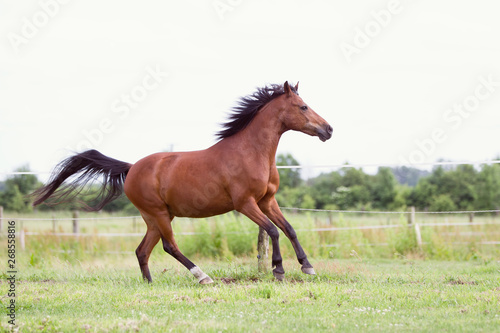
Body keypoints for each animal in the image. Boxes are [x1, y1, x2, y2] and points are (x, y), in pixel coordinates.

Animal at [31, 81, 332, 282]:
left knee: (142, 250)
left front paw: (307, 266)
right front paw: (279, 270)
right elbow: (272, 231)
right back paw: (202, 276)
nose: (328, 129)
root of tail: (132, 167)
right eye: (303, 106)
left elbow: (289, 228)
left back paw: (150, 284)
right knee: (169, 246)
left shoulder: (267, 200)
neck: (251, 152)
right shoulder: (245, 203)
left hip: (156, 218)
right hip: (158, 214)